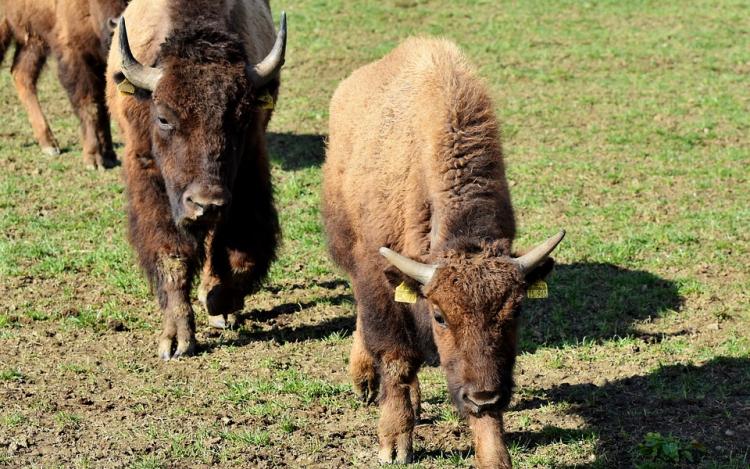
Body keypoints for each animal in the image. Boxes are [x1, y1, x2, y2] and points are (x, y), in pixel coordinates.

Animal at [0, 0, 126, 168]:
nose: (117, 22)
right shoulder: (75, 56)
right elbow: (90, 105)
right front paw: (93, 158)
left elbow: (103, 107)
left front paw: (110, 155)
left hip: (33, 37)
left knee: (22, 75)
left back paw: (49, 144)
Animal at [103, 0, 284, 358]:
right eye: (163, 118)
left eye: (242, 120)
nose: (207, 204)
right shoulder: (150, 181)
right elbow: (171, 256)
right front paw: (176, 340)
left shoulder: (249, 173)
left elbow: (241, 255)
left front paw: (219, 303)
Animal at [324, 37, 564, 468]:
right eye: (440, 316)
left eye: (517, 310)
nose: (484, 396)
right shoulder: (378, 279)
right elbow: (396, 359)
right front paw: (393, 445)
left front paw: (494, 455)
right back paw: (366, 381)